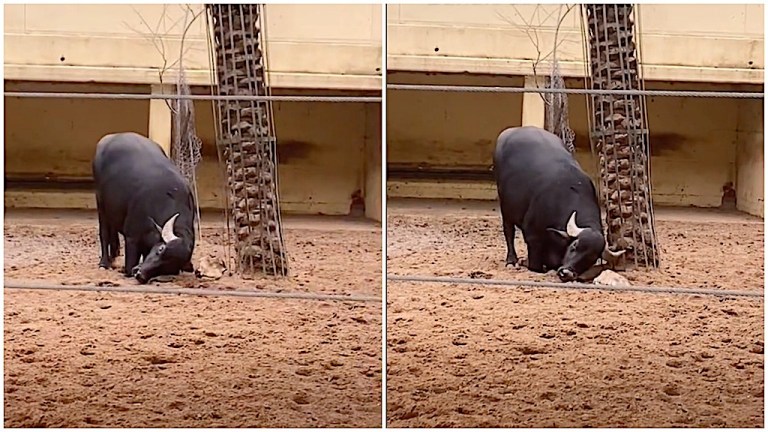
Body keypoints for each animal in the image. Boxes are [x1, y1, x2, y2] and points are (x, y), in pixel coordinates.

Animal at [92, 133, 195, 286]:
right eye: (161, 249)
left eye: (168, 267)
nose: (140, 274)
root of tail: (109, 138)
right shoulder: (131, 237)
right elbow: (129, 266)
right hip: (100, 203)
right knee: (104, 232)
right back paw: (104, 263)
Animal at [492, 124, 624, 284]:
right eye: (574, 246)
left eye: (591, 258)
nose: (567, 273)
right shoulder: (532, 235)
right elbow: (535, 265)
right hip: (505, 207)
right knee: (508, 231)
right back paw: (511, 260)